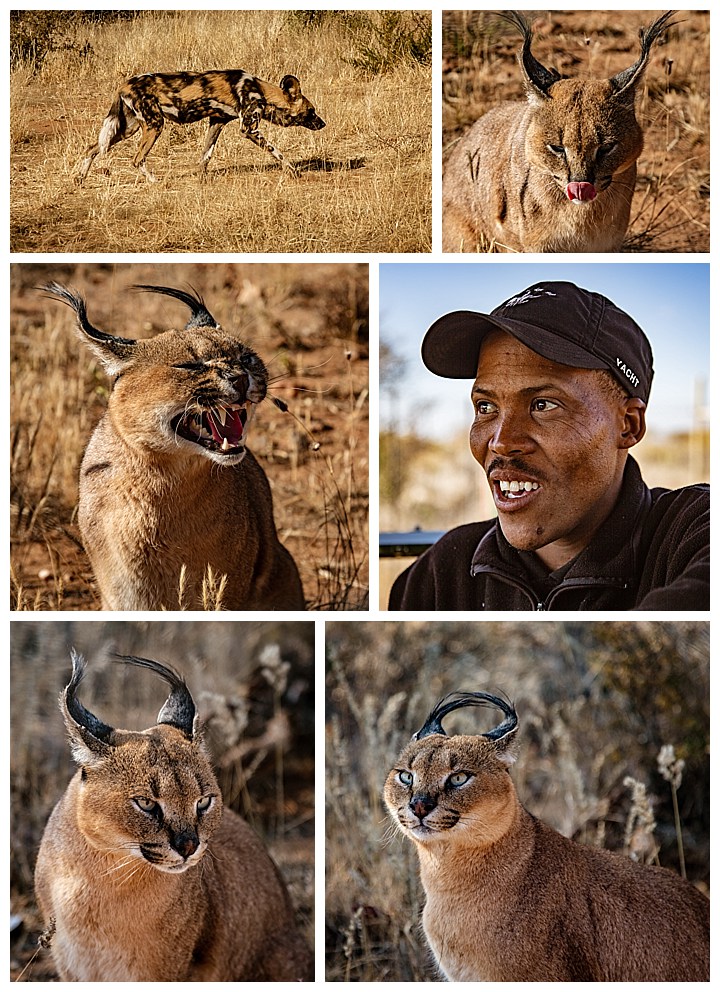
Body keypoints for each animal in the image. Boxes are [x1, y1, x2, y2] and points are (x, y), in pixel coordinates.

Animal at [76, 68, 326, 182]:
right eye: (311, 111)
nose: (323, 123)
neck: (262, 92)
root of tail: (125, 84)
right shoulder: (249, 129)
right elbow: (277, 152)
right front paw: (292, 170)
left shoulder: (216, 123)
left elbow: (206, 156)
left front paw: (200, 178)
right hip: (155, 125)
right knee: (137, 159)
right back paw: (155, 182)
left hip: (128, 128)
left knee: (92, 148)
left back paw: (80, 178)